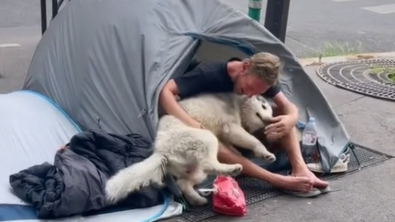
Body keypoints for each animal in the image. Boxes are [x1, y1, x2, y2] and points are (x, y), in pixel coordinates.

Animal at [105, 92, 276, 206]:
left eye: (270, 111)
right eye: (263, 106)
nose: (269, 120)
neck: (239, 104)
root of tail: (160, 151)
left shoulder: (224, 137)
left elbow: (231, 146)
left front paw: (239, 152)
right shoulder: (230, 128)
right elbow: (253, 140)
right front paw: (265, 153)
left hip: (195, 168)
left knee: (184, 183)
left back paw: (198, 199)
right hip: (206, 138)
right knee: (209, 165)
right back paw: (232, 169)